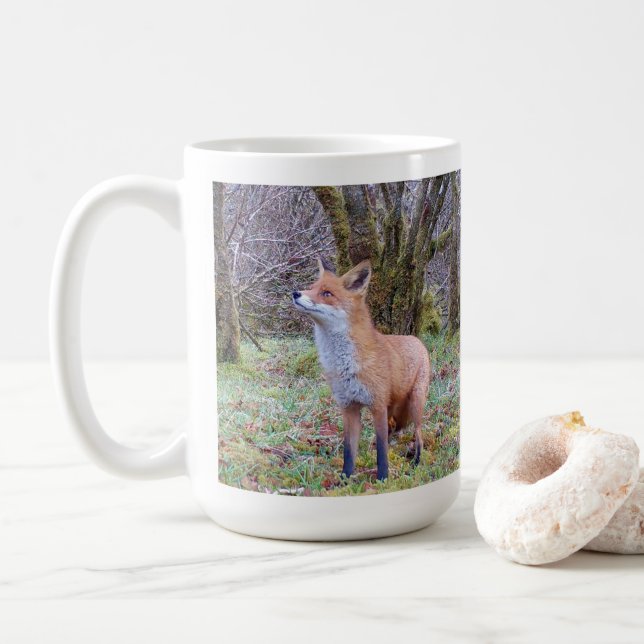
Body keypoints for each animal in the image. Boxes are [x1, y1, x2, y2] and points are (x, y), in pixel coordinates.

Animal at [292, 258, 431, 481]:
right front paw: (345, 479)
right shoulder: (348, 407)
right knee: (392, 430)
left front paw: (382, 479)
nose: (295, 293)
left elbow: (382, 453)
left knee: (418, 434)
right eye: (311, 287)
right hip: (392, 407)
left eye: (327, 293)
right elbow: (349, 451)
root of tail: (416, 339)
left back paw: (416, 463)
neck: (345, 366)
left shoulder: (377, 405)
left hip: (415, 404)